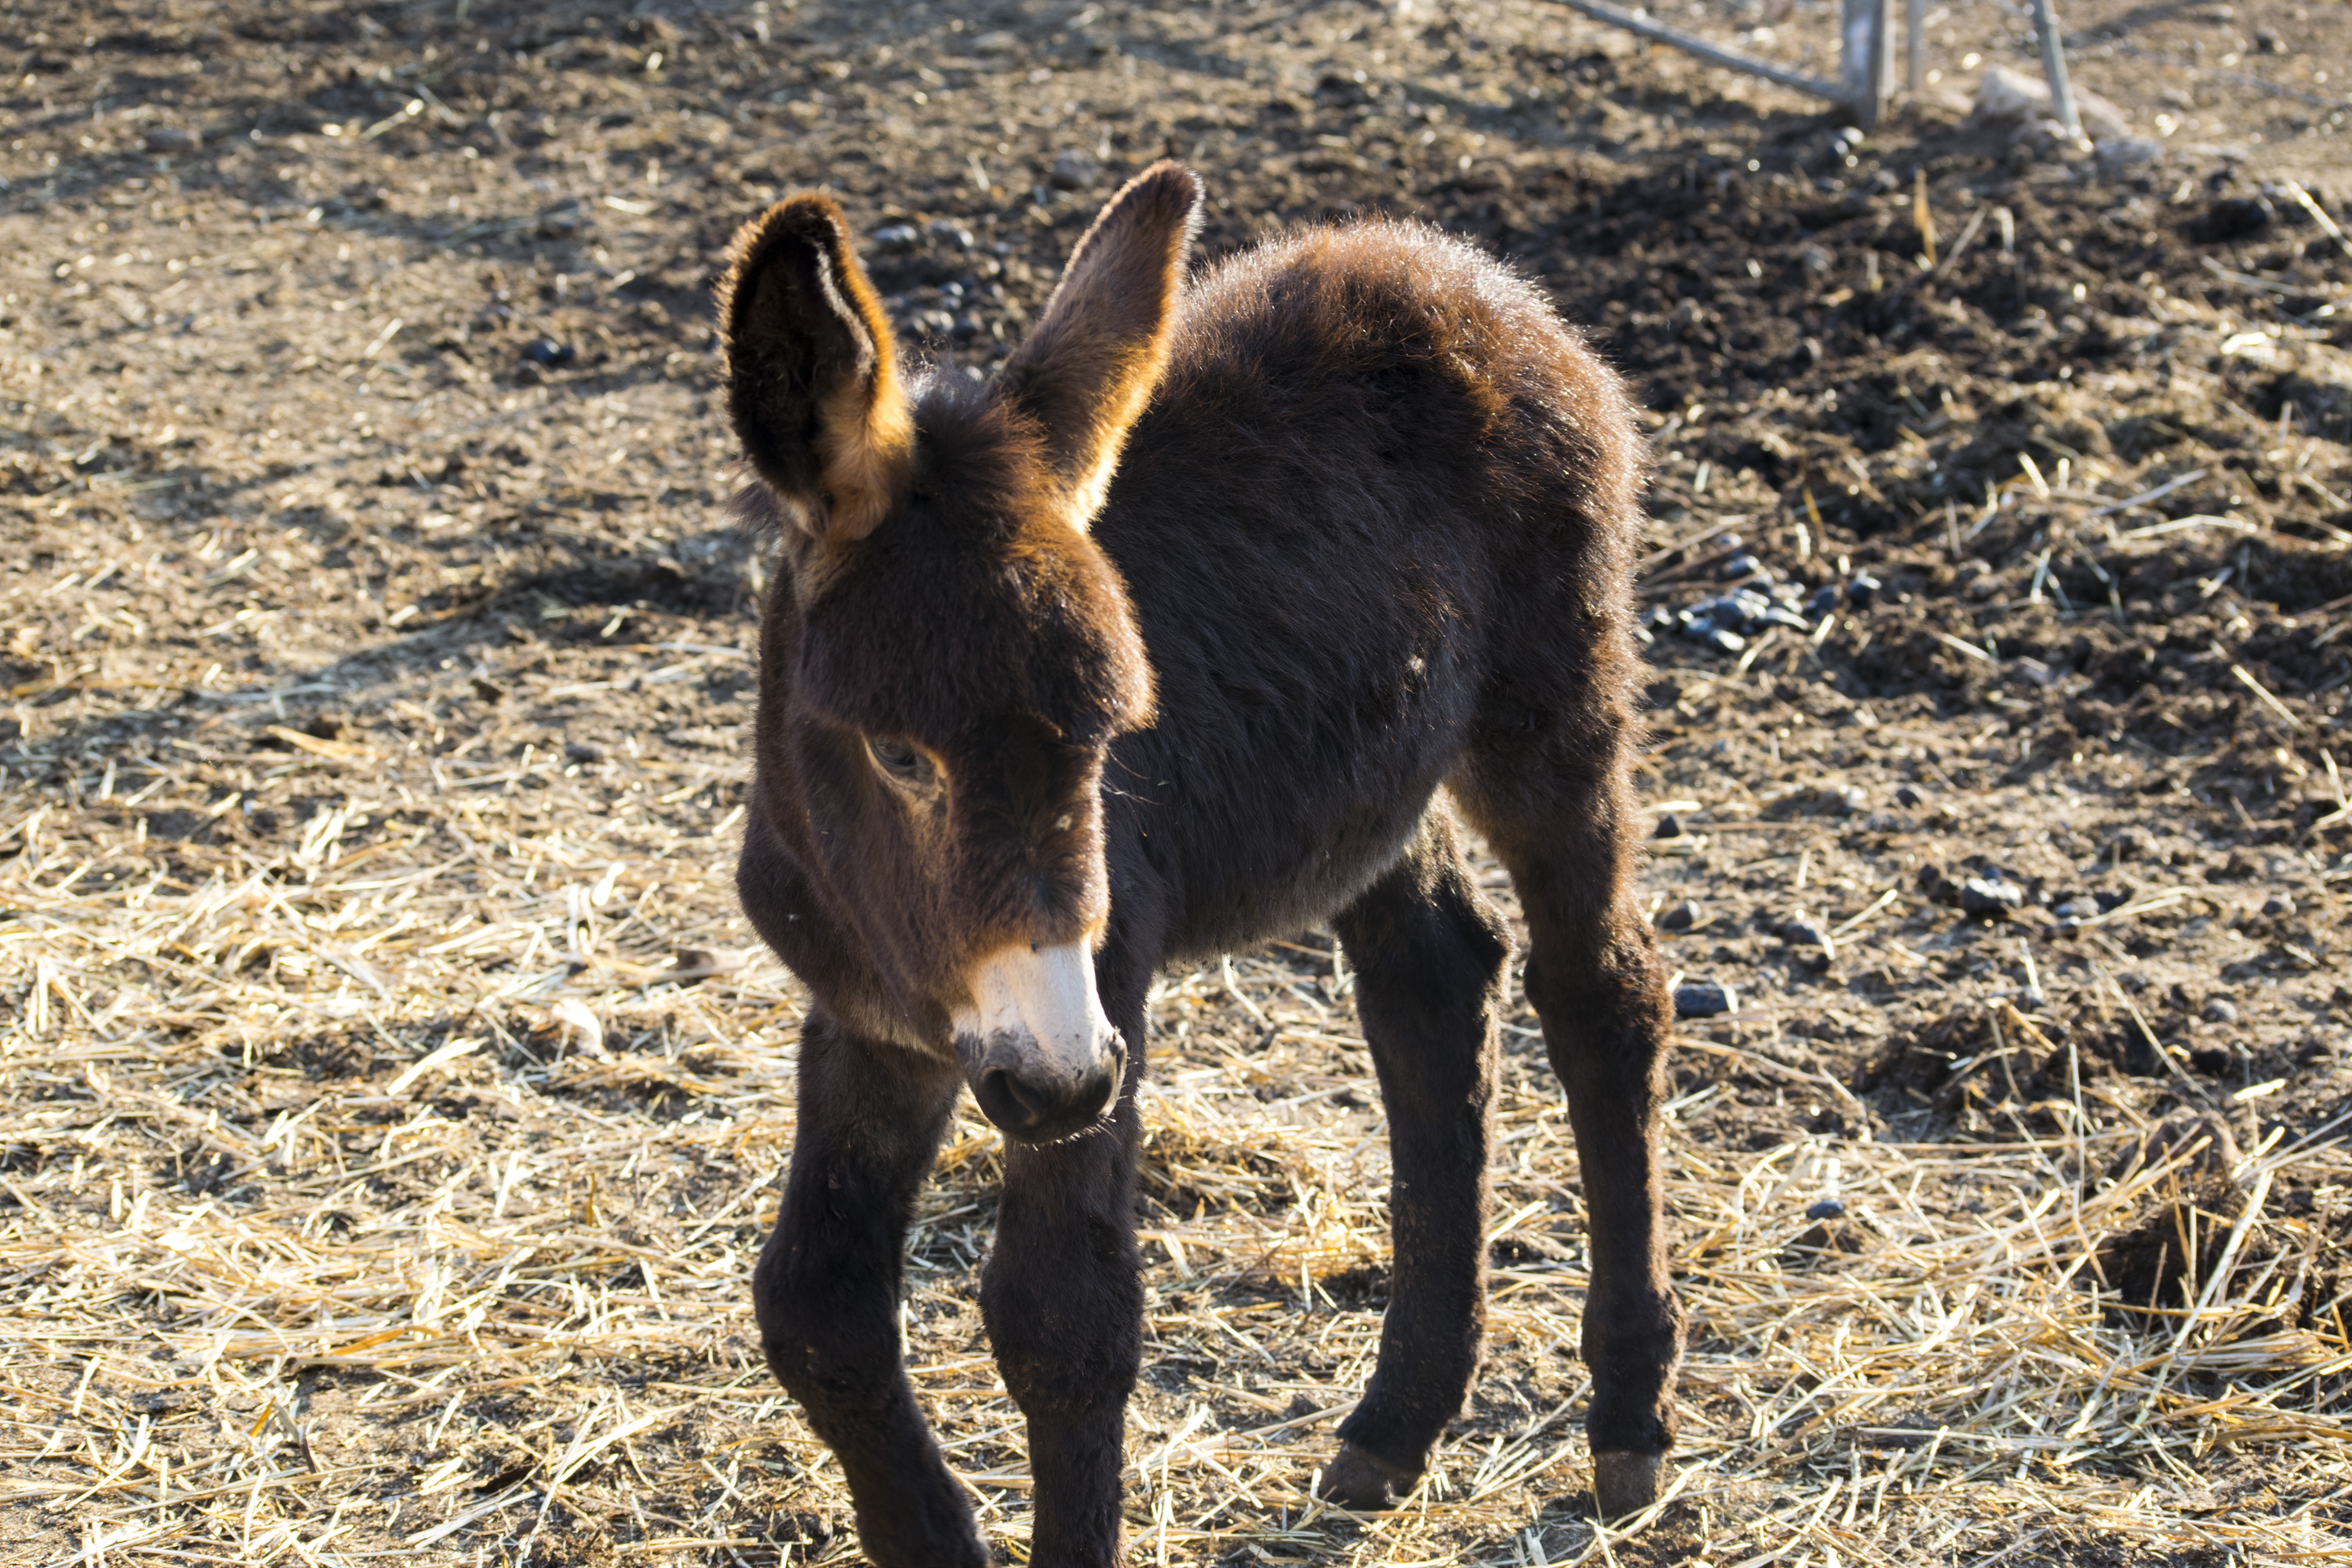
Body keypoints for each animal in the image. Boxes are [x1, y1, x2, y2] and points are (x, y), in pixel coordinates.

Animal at [724, 165, 1684, 1561]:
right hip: (1371, 780)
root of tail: (1456, 270)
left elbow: (1062, 1324)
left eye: (1109, 739)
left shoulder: (1099, 979)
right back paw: (1396, 1423)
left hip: (1550, 707)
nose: (1061, 1082)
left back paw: (1626, 1421)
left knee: (1603, 993)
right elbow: (816, 1306)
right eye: (900, 755)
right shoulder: (871, 1015)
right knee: (1435, 987)